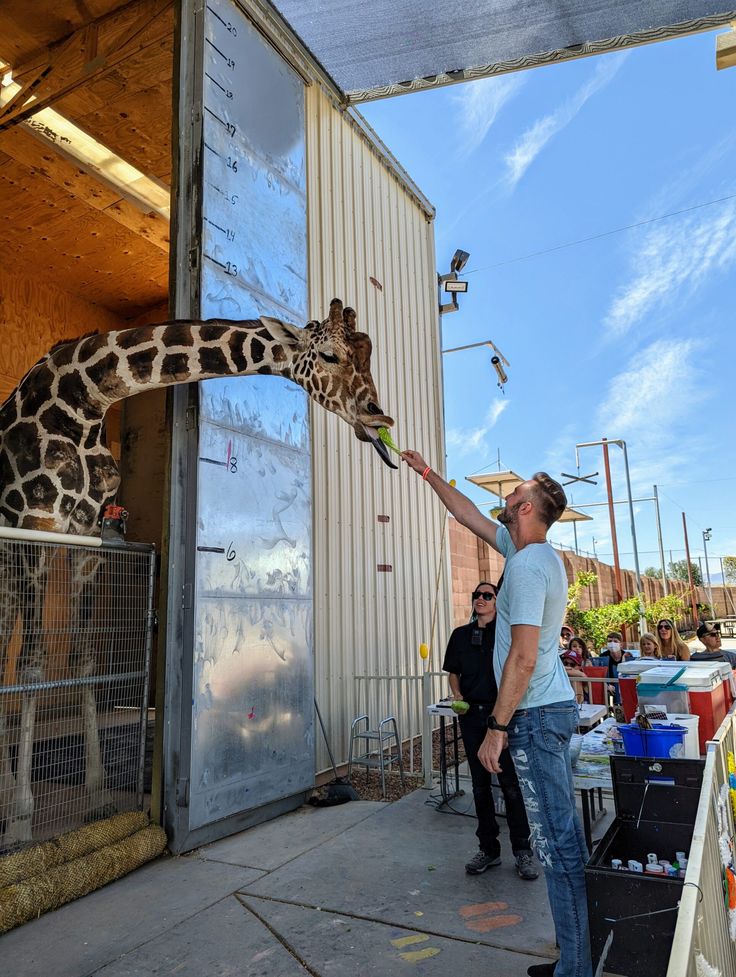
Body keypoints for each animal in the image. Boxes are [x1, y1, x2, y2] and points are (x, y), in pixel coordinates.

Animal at [0, 298, 394, 848]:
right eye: (331, 355)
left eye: (367, 352)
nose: (379, 416)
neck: (87, 398)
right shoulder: (38, 523)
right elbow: (34, 665)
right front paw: (20, 821)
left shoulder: (88, 535)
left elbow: (84, 656)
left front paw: (98, 798)